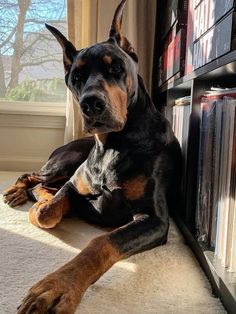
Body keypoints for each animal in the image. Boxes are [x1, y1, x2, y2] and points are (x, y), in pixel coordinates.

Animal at [3, 1, 181, 312]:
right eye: (76, 77)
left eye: (117, 67)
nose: (91, 104)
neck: (114, 145)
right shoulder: (75, 183)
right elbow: (47, 213)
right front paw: (45, 205)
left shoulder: (155, 219)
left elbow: (101, 242)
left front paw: (57, 288)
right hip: (66, 161)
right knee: (34, 176)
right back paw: (21, 191)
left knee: (41, 181)